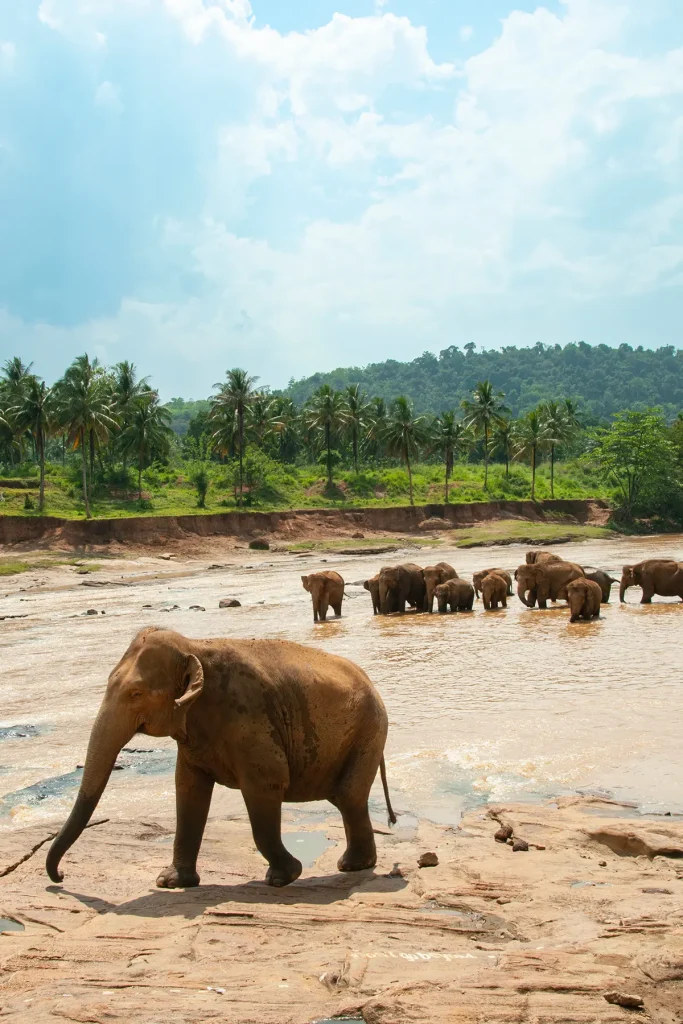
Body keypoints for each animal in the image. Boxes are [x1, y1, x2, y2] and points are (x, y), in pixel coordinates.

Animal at [46, 627, 396, 890]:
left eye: (135, 694)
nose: (61, 876)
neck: (193, 647)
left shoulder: (249, 719)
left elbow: (265, 784)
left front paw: (284, 877)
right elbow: (188, 789)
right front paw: (171, 882)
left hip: (370, 730)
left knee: (348, 796)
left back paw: (352, 866)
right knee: (346, 798)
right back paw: (354, 866)